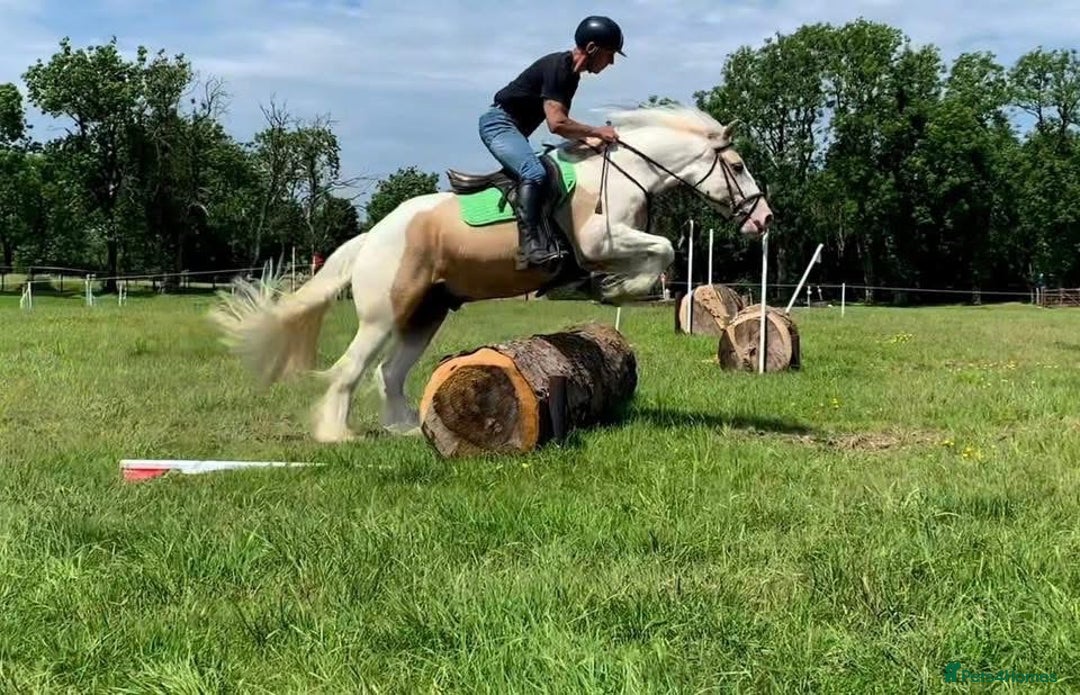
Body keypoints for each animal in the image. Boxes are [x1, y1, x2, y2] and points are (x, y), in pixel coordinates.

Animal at [210, 103, 774, 443]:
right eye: (738, 166)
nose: (764, 219)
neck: (621, 174)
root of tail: (374, 235)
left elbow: (660, 254)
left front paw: (612, 286)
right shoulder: (600, 240)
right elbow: (665, 249)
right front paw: (613, 287)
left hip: (426, 313)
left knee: (389, 373)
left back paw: (405, 430)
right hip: (384, 314)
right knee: (351, 368)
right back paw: (335, 435)